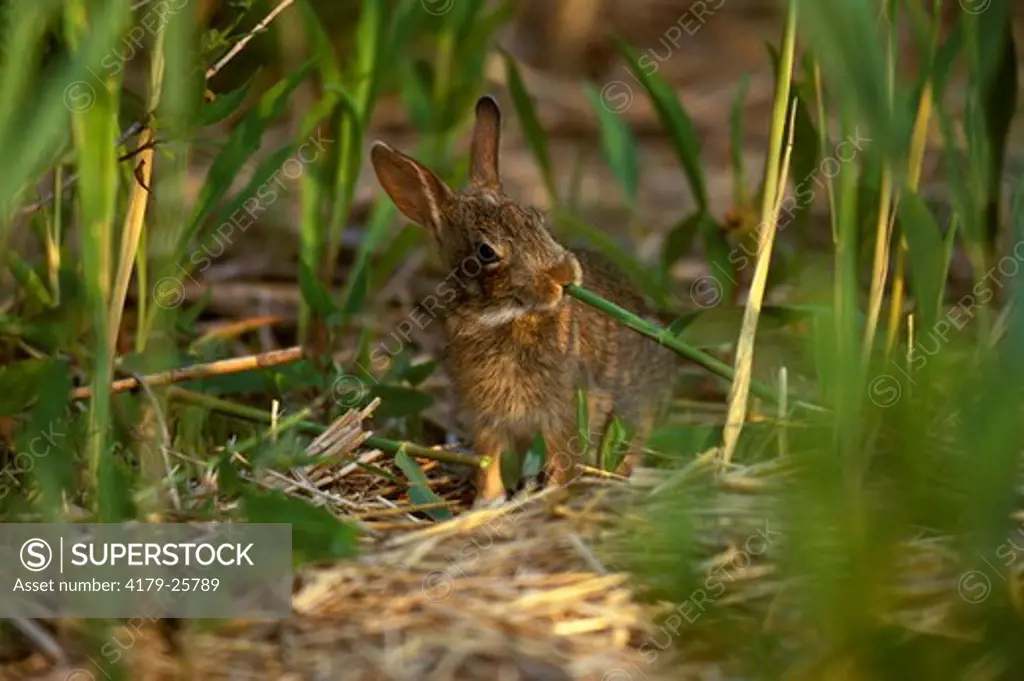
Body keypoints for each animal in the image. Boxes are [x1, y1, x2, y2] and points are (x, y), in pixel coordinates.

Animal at [368, 94, 679, 503]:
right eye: (485, 252)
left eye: (535, 219)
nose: (564, 275)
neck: (504, 317)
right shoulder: (486, 417)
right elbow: (489, 460)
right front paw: (488, 502)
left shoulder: (561, 411)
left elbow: (562, 457)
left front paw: (552, 495)